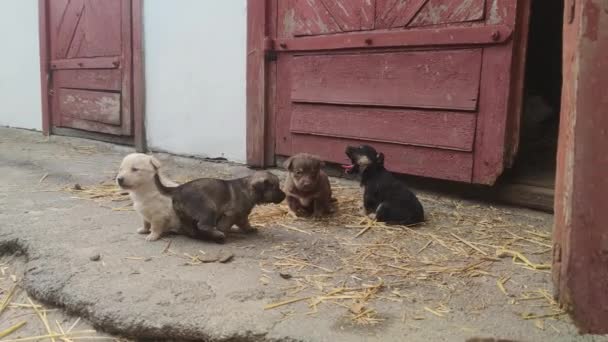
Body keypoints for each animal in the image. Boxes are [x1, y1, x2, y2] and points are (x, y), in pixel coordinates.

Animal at [152, 168, 284, 243]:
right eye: (275, 187)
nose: (284, 195)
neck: (248, 189)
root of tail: (178, 189)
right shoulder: (231, 215)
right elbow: (225, 226)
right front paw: (224, 232)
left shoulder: (241, 216)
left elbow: (245, 224)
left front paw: (250, 229)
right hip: (208, 209)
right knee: (203, 226)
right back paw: (218, 235)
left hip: (185, 216)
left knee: (192, 230)